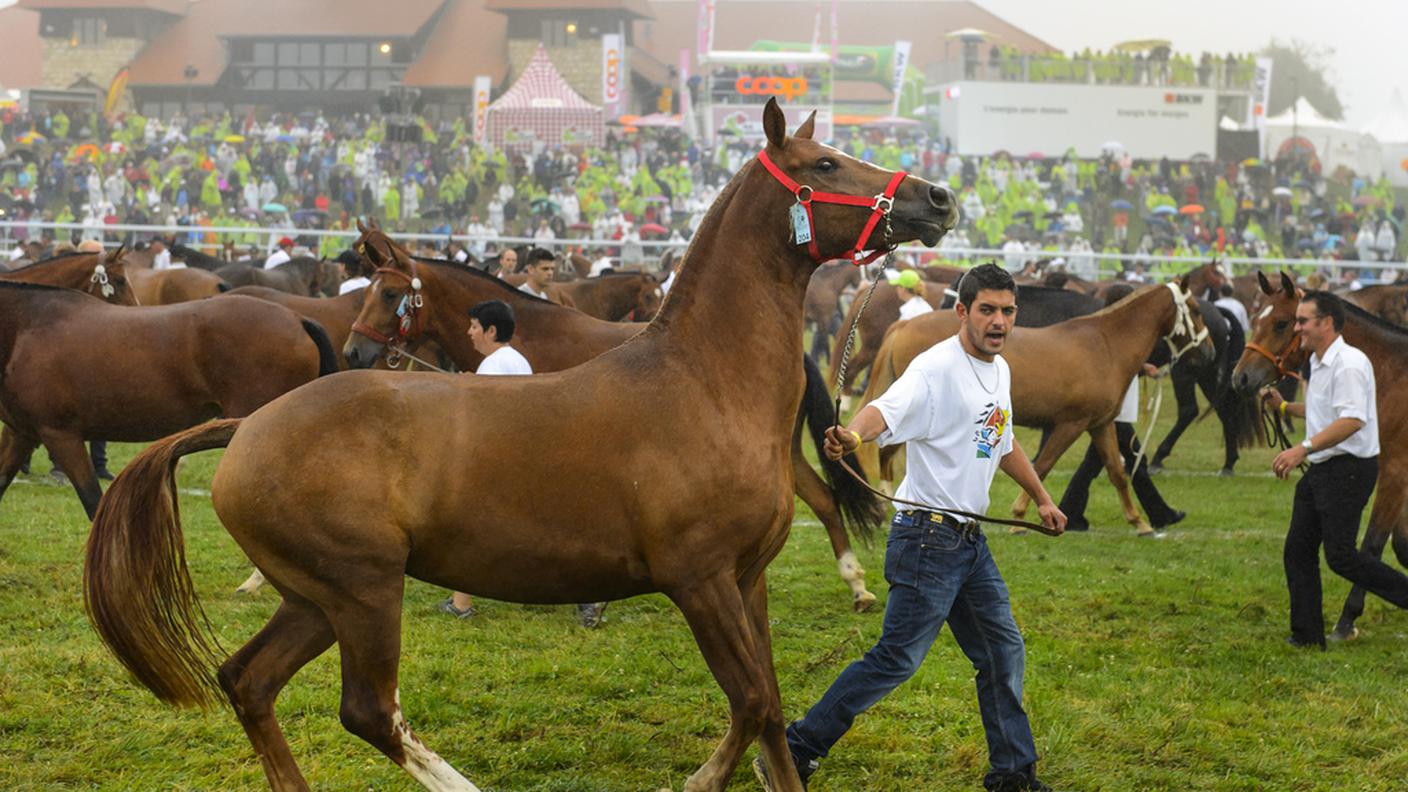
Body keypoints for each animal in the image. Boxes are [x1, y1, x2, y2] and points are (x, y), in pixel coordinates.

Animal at [856, 274, 1210, 532]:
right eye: (1195, 310)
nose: (1209, 351)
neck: (1107, 345)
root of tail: (903, 325)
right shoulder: (1071, 424)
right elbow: (1041, 466)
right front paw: (1019, 518)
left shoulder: (1100, 424)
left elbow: (1117, 471)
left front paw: (1140, 523)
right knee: (887, 451)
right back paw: (886, 505)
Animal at [1227, 270, 1408, 642]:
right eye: (1255, 319)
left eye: (1283, 323)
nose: (1240, 377)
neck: (1392, 376)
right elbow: (1402, 545)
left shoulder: (1396, 472)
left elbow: (1373, 544)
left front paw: (1346, 621)